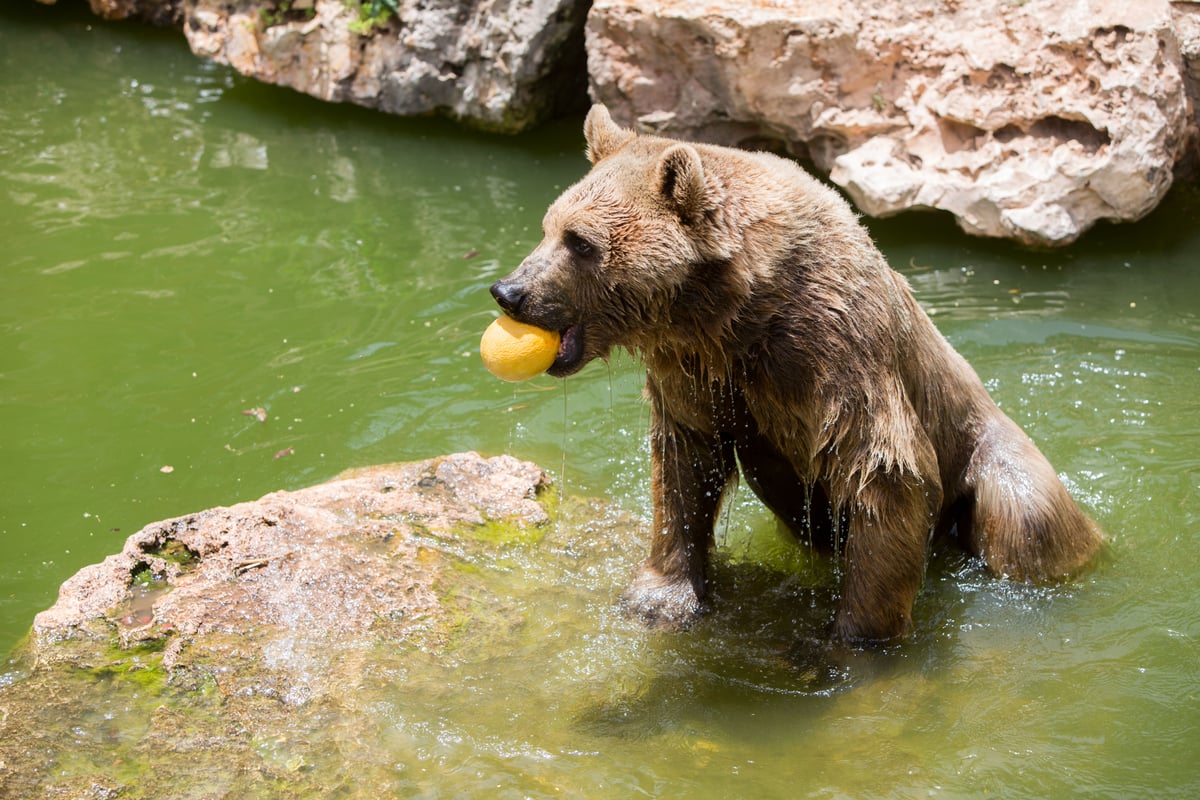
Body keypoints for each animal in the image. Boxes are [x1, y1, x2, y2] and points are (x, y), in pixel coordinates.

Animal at [489, 104, 1104, 642]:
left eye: (580, 242)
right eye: (548, 226)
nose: (509, 292)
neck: (735, 313)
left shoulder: (836, 348)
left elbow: (885, 471)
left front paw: (850, 637)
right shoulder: (694, 370)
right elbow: (686, 461)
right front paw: (660, 596)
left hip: (994, 463)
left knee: (1025, 522)